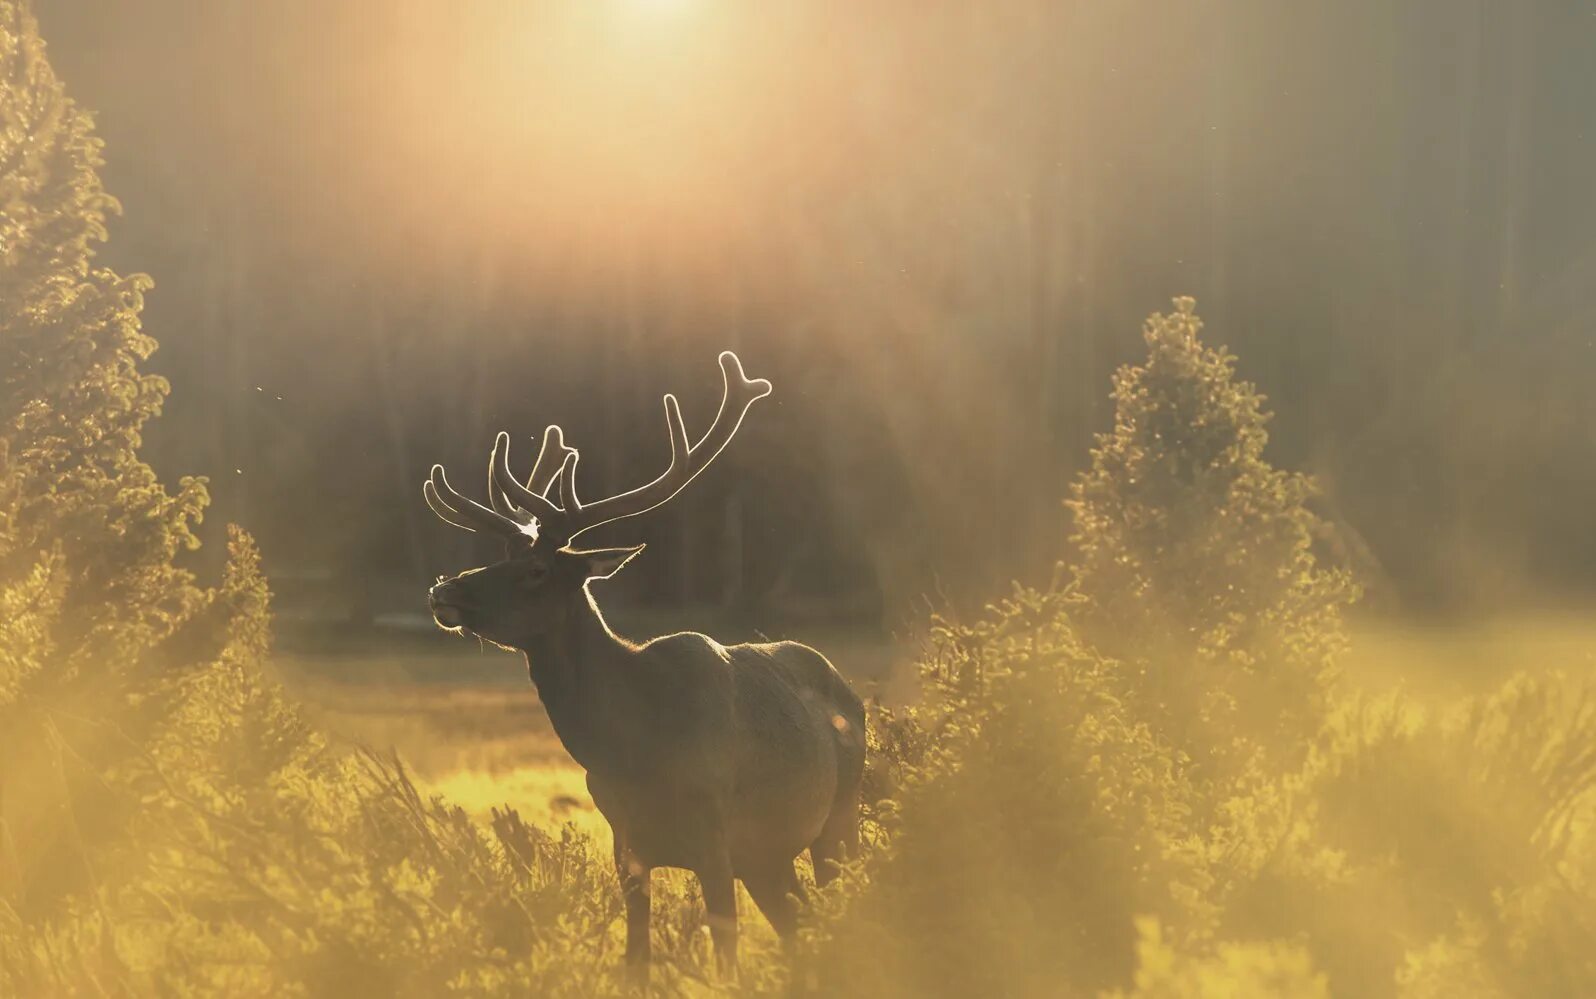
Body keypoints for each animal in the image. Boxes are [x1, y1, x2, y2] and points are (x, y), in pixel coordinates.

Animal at [421, 347, 861, 970]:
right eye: (499, 555)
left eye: (536, 569)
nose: (445, 590)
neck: (632, 744)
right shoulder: (625, 844)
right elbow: (636, 962)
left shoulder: (714, 837)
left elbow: (725, 954)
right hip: (769, 857)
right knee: (799, 926)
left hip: (839, 823)